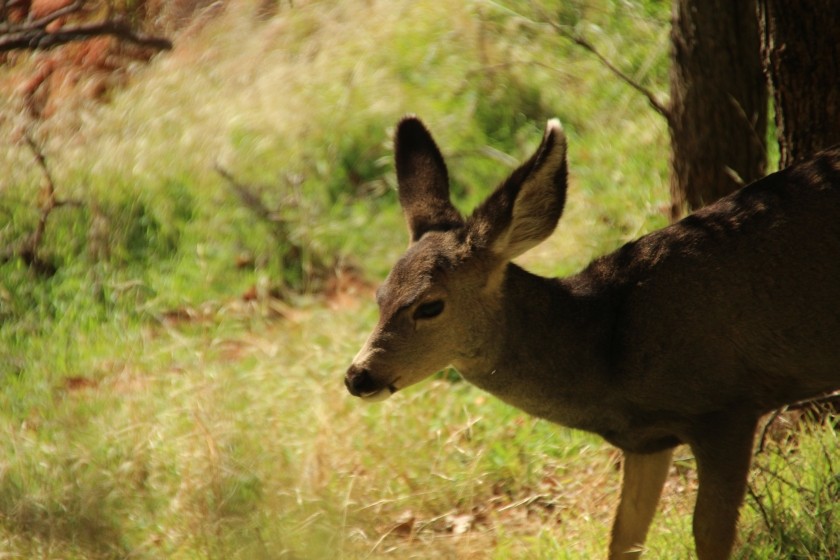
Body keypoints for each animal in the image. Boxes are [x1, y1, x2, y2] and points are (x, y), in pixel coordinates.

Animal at [342, 116, 840, 556]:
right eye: (379, 296)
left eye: (429, 305)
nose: (357, 376)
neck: (611, 350)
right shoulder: (649, 440)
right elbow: (624, 537)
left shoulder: (726, 407)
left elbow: (709, 536)